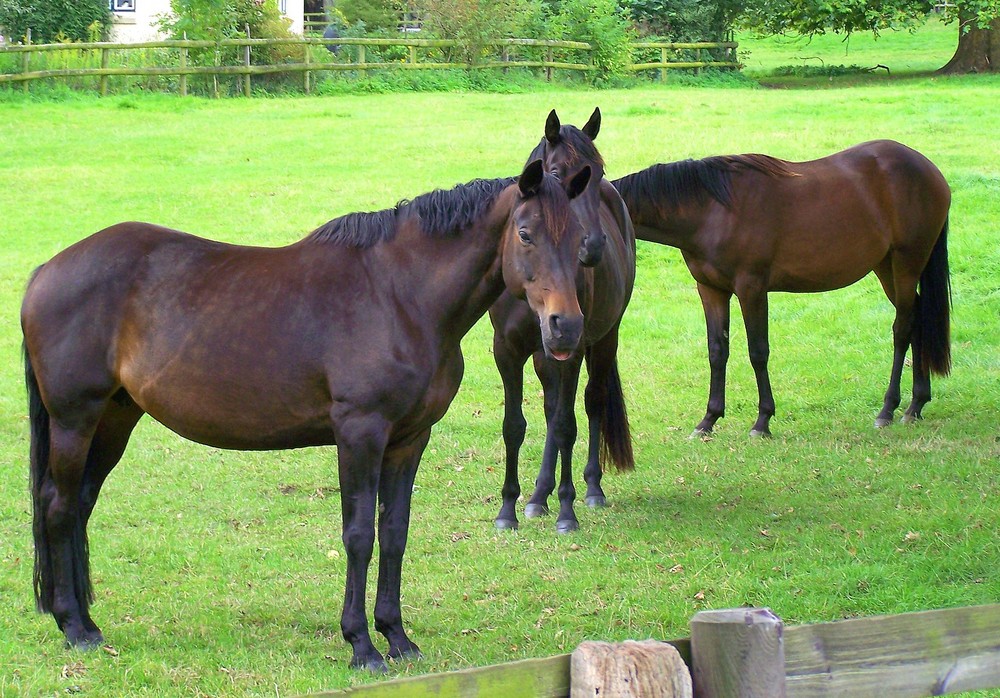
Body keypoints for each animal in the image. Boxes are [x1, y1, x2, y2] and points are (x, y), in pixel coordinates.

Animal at [21, 158, 592, 668]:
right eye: (525, 233)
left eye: (581, 241)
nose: (565, 328)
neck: (400, 296)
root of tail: (47, 270)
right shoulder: (360, 433)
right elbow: (359, 535)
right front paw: (362, 646)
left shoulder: (409, 439)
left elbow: (395, 532)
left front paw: (397, 637)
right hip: (75, 420)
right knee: (59, 506)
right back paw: (74, 627)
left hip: (114, 418)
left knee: (80, 505)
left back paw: (84, 621)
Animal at [490, 110, 636, 532]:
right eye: (555, 172)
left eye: (598, 173)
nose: (594, 248)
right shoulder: (507, 351)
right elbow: (515, 426)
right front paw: (508, 508)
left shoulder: (571, 351)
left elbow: (566, 426)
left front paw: (567, 510)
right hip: (545, 356)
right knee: (551, 410)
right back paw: (539, 495)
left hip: (603, 341)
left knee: (589, 403)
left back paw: (591, 488)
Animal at [612, 139, 948, 436]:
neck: (711, 211)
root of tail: (930, 170)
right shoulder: (710, 289)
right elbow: (717, 351)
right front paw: (708, 420)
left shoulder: (751, 288)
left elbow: (758, 352)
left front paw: (762, 421)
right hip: (886, 267)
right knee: (918, 318)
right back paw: (916, 404)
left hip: (907, 264)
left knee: (903, 328)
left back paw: (888, 410)